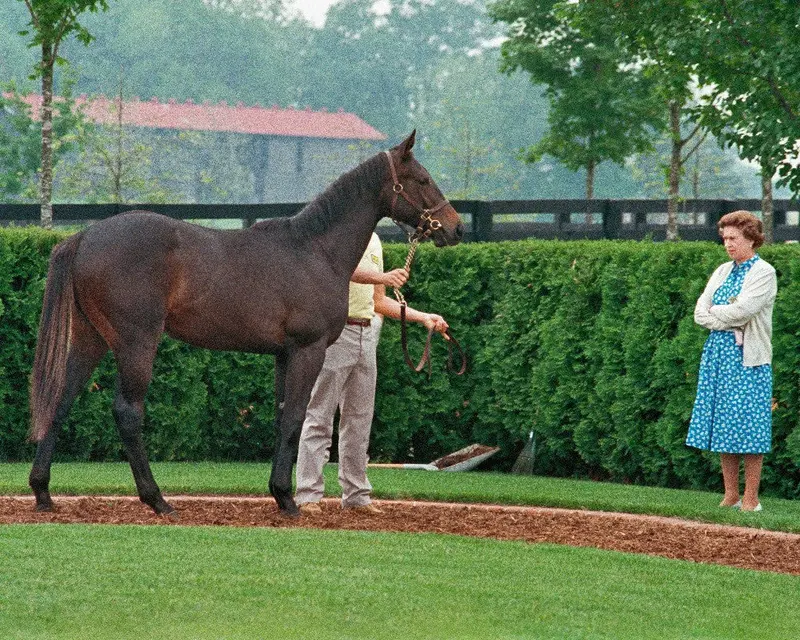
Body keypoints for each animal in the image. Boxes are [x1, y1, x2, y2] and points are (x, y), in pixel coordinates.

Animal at [28, 131, 464, 517]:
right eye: (422, 180)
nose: (455, 227)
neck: (315, 249)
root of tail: (84, 237)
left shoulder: (284, 355)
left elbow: (282, 416)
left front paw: (278, 494)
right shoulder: (309, 349)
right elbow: (296, 417)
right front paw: (287, 499)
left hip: (91, 339)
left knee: (60, 400)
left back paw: (43, 492)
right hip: (137, 343)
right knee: (127, 413)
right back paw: (157, 500)